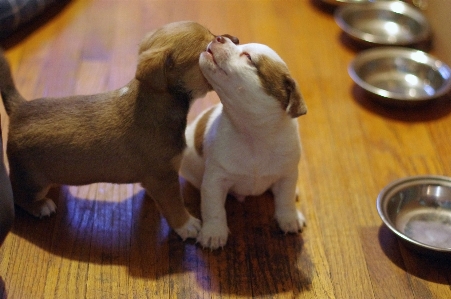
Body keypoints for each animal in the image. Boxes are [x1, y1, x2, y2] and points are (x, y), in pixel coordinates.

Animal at [0, 20, 240, 241]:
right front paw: (187, 225)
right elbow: (175, 206)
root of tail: (20, 108)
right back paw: (41, 206)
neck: (155, 102)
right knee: (18, 196)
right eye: (208, 49)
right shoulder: (165, 178)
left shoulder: (157, 180)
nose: (236, 39)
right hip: (32, 181)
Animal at [179, 36, 308, 250]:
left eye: (248, 58)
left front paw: (289, 218)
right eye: (237, 42)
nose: (220, 37)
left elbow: (286, 199)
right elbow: (214, 209)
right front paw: (214, 232)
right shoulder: (215, 181)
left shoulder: (287, 175)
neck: (253, 135)